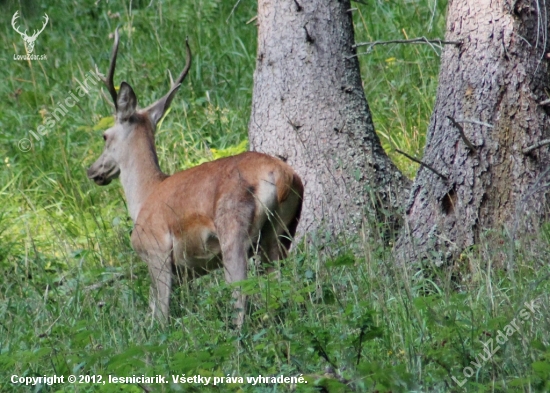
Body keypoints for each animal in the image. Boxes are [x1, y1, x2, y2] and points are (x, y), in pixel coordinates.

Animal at [85, 29, 306, 326]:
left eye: (105, 136)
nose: (93, 170)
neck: (144, 195)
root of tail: (280, 176)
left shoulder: (156, 251)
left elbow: (160, 316)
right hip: (281, 232)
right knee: (282, 288)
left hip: (233, 230)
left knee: (241, 295)